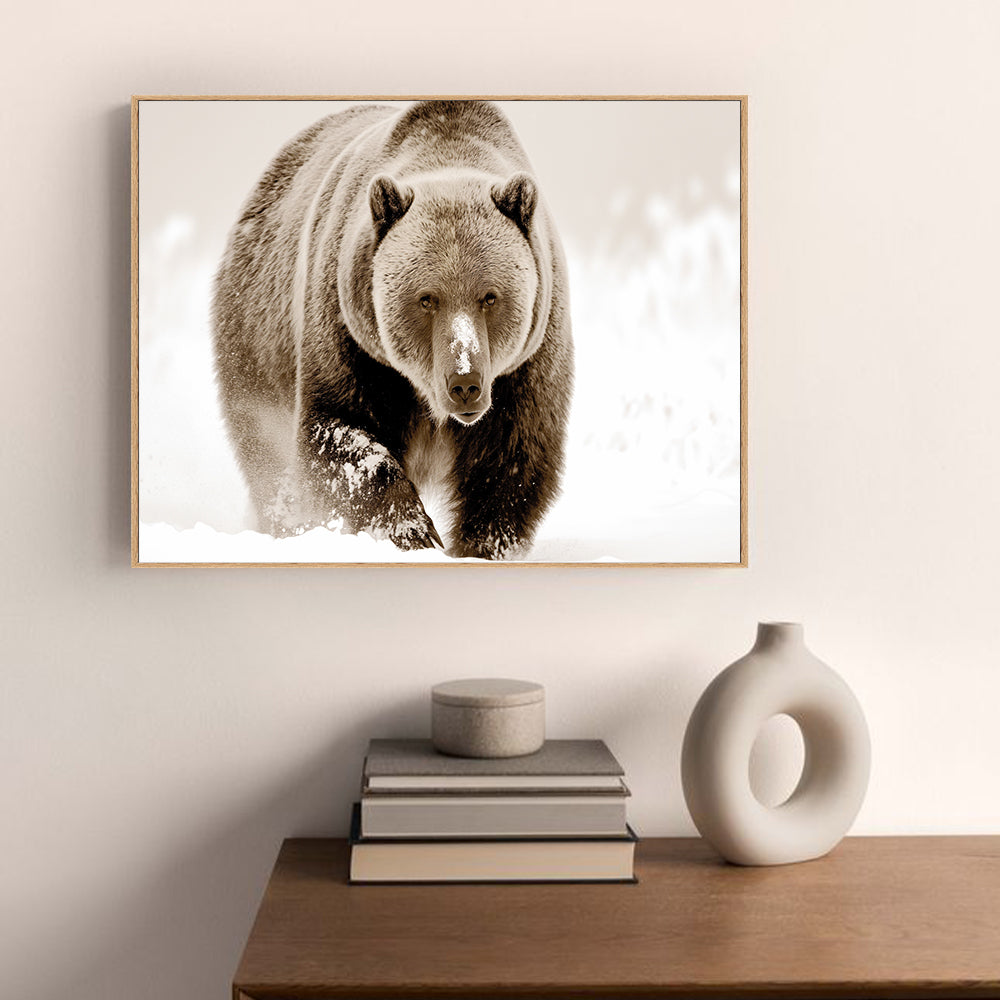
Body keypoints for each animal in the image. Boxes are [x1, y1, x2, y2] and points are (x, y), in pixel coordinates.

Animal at [212, 100, 573, 559]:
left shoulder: (526, 363)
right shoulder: (353, 340)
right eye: (427, 298)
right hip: (256, 343)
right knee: (268, 458)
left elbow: (511, 460)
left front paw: (481, 545)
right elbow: (343, 434)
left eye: (489, 297)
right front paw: (415, 532)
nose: (464, 383)